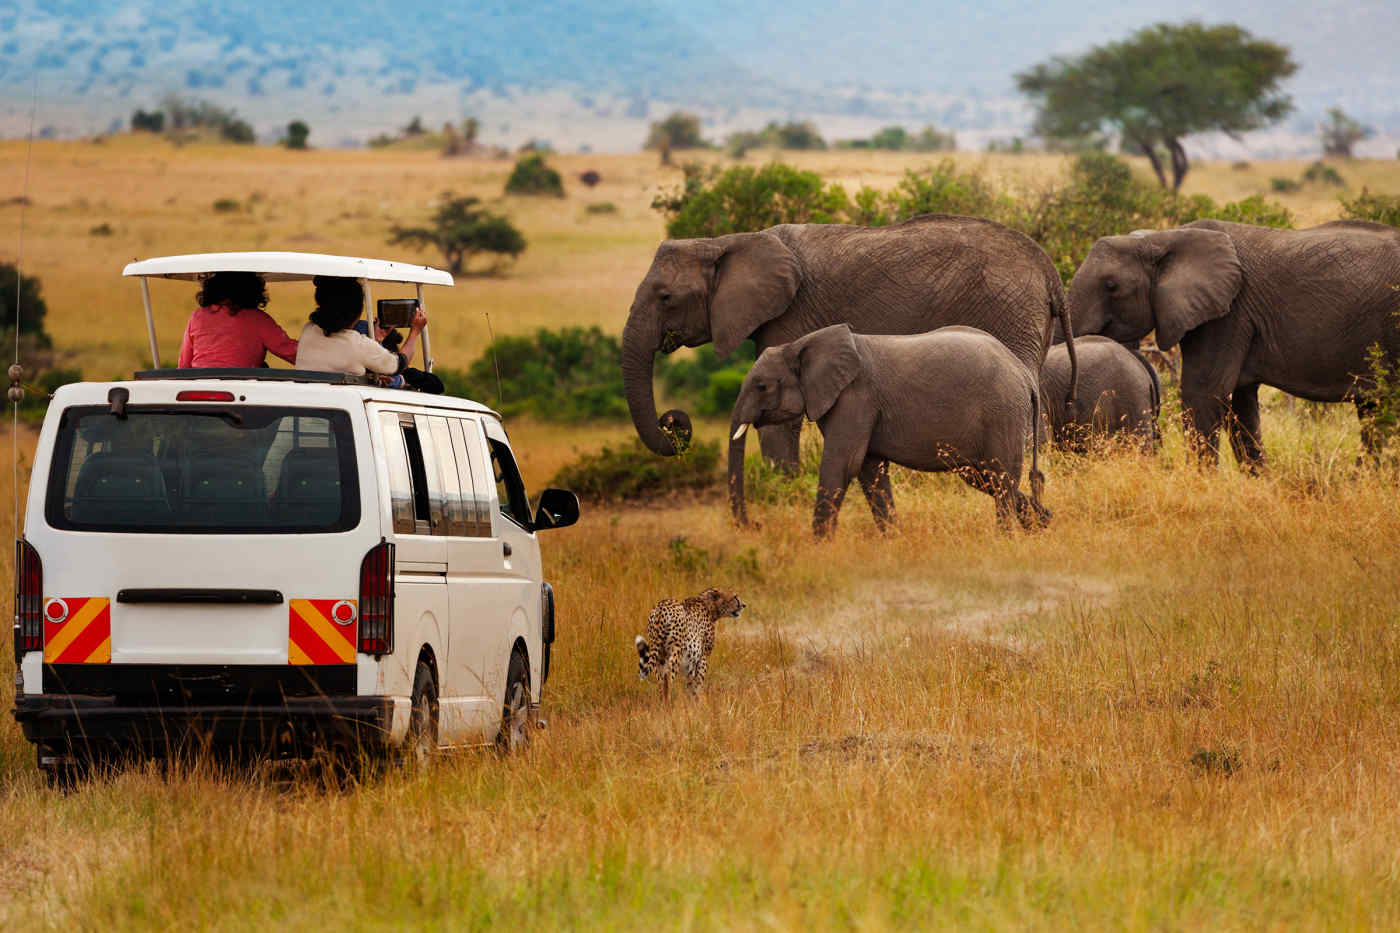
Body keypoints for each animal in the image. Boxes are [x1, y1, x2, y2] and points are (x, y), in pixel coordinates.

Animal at [733, 323, 1052, 535]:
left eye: (762, 387)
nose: (756, 525)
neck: (801, 344)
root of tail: (1025, 375)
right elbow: (869, 471)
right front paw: (893, 539)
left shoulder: (856, 397)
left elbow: (843, 465)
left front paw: (818, 548)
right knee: (985, 477)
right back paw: (1042, 523)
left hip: (1003, 413)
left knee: (999, 477)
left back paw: (1007, 538)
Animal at [1064, 217, 1400, 465]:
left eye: (1111, 286)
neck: (1163, 237)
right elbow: (1240, 406)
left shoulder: (1228, 314)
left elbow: (1202, 394)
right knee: (1373, 412)